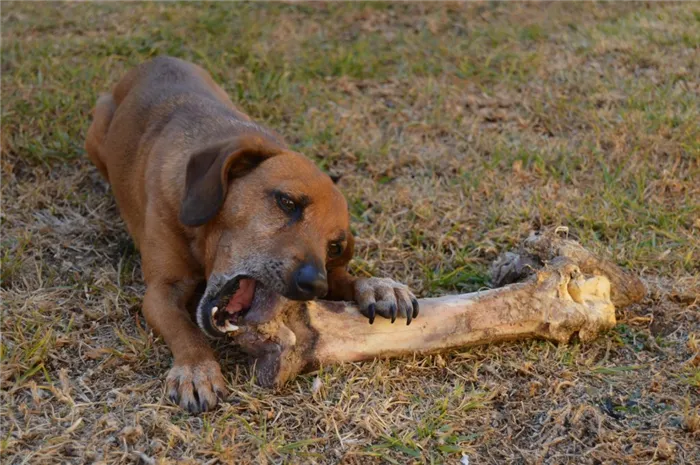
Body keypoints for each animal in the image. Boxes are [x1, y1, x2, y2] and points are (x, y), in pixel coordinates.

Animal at [85, 56, 418, 412]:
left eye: (334, 246)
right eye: (287, 202)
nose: (315, 285)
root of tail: (156, 60)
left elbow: (346, 278)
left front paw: (378, 286)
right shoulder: (161, 291)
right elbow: (186, 329)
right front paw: (197, 369)